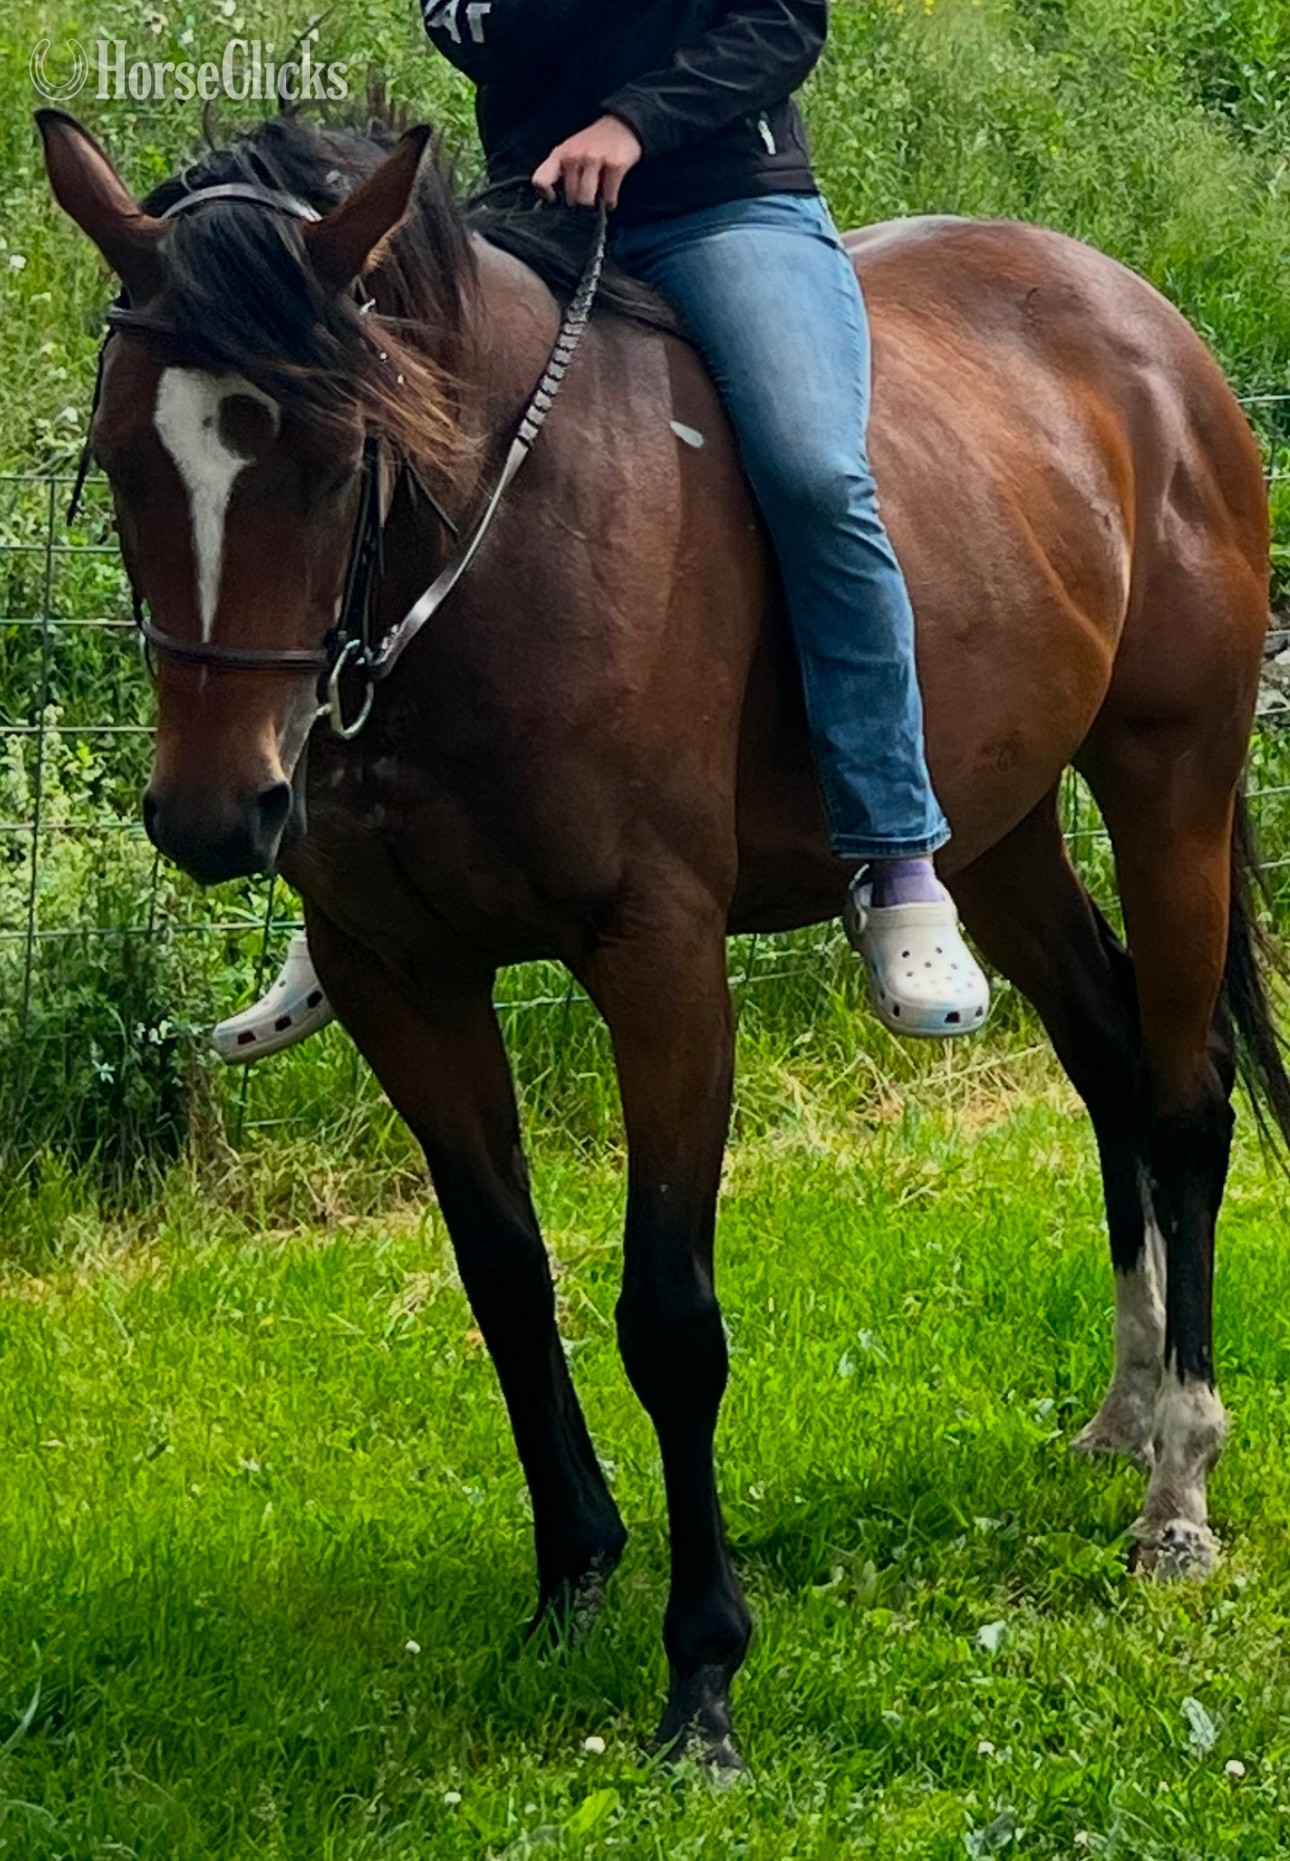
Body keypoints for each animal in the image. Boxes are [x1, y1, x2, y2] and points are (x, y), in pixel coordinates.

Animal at [39, 105, 1290, 1769]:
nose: (211, 815)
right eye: (122, 453)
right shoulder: (398, 975)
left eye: (325, 450)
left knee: (1184, 1100)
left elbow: (668, 1318)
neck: (489, 564)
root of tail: (1149, 332)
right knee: (1103, 1066)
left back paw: (1178, 1482)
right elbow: (506, 1283)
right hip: (1003, 826)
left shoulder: (660, 962)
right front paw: (571, 1581)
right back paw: (1122, 1408)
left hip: (1169, 781)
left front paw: (701, 1676)